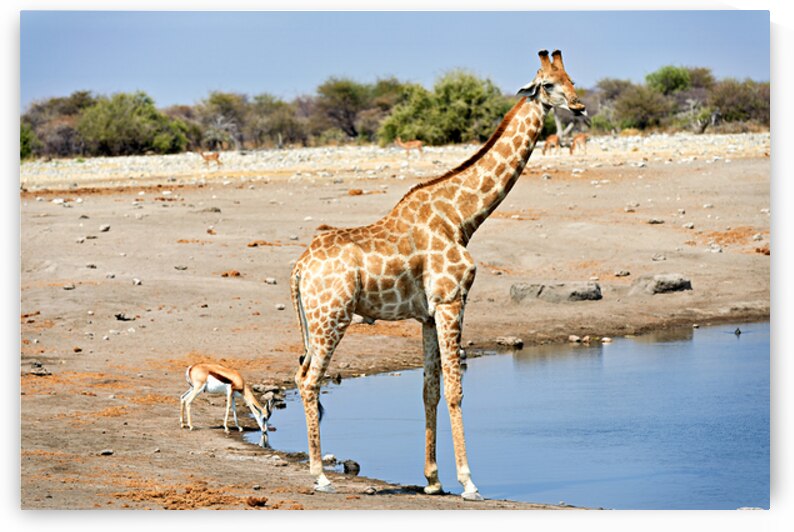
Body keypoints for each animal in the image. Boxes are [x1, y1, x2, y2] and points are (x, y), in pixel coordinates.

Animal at [289, 49, 586, 500]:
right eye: (549, 85)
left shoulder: (427, 314)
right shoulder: (451, 300)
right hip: (332, 316)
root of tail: (300, 266)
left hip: (318, 319)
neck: (461, 217)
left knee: (300, 373)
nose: (581, 106)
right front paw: (468, 481)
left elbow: (430, 388)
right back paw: (320, 475)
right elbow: (455, 389)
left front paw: (432, 479)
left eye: (572, 78)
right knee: (309, 380)